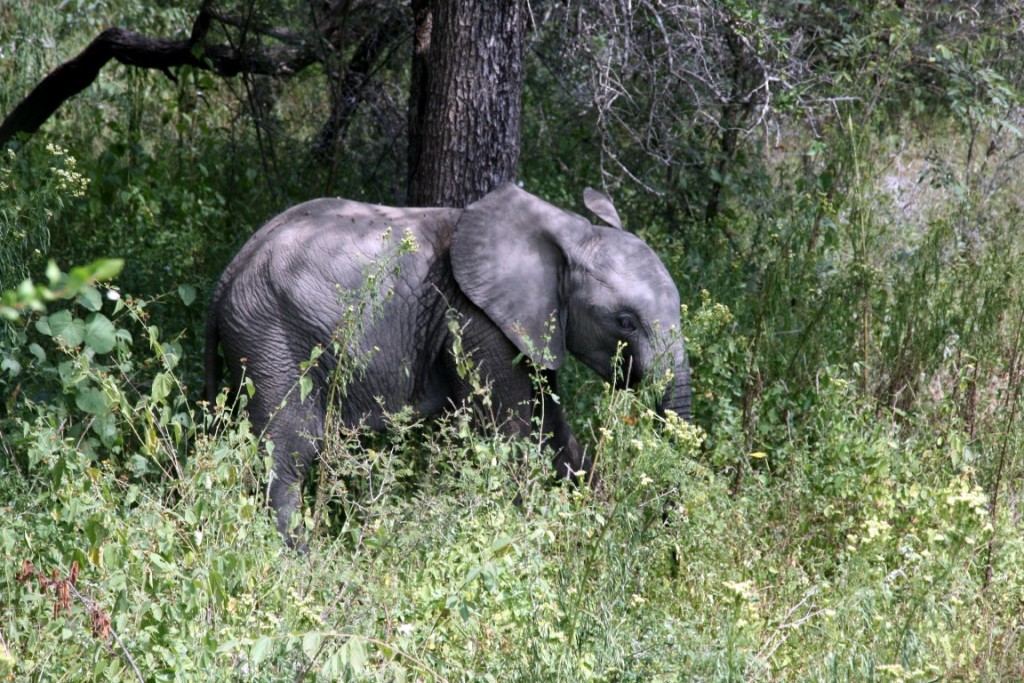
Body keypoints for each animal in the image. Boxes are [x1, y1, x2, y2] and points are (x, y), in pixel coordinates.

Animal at [204, 183, 692, 544]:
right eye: (625, 322)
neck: (567, 231)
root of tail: (228, 273)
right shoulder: (478, 321)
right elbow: (516, 433)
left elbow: (551, 426)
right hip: (273, 338)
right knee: (289, 453)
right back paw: (304, 559)